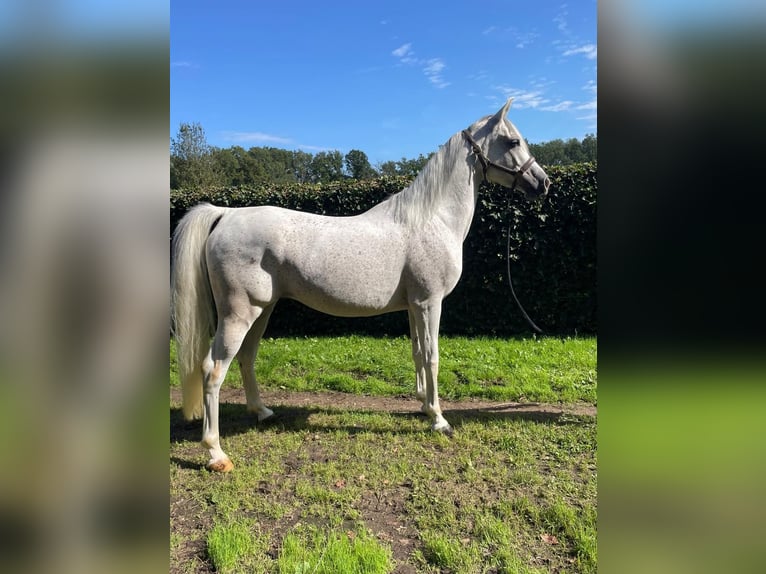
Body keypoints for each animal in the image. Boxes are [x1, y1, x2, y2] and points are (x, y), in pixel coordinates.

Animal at [171, 101, 548, 474]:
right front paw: (439, 420)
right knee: (213, 370)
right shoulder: (430, 303)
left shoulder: (414, 306)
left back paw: (262, 412)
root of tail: (226, 214)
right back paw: (216, 453)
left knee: (246, 357)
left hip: (262, 309)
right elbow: (432, 356)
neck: (431, 219)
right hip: (239, 313)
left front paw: (424, 406)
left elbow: (417, 353)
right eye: (513, 142)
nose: (542, 182)